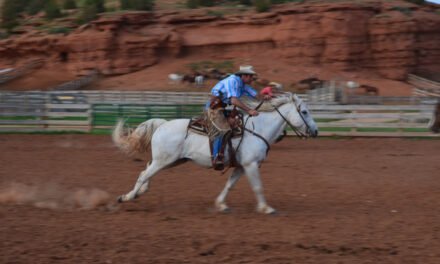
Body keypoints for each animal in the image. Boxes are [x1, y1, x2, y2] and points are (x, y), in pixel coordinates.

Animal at [111, 94, 318, 213]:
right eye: (305, 112)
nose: (315, 131)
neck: (258, 129)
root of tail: (162, 124)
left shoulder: (241, 167)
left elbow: (229, 185)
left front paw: (221, 204)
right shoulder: (251, 165)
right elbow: (258, 187)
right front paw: (266, 208)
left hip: (171, 160)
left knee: (146, 171)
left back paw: (138, 193)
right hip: (164, 160)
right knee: (144, 174)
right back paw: (126, 197)